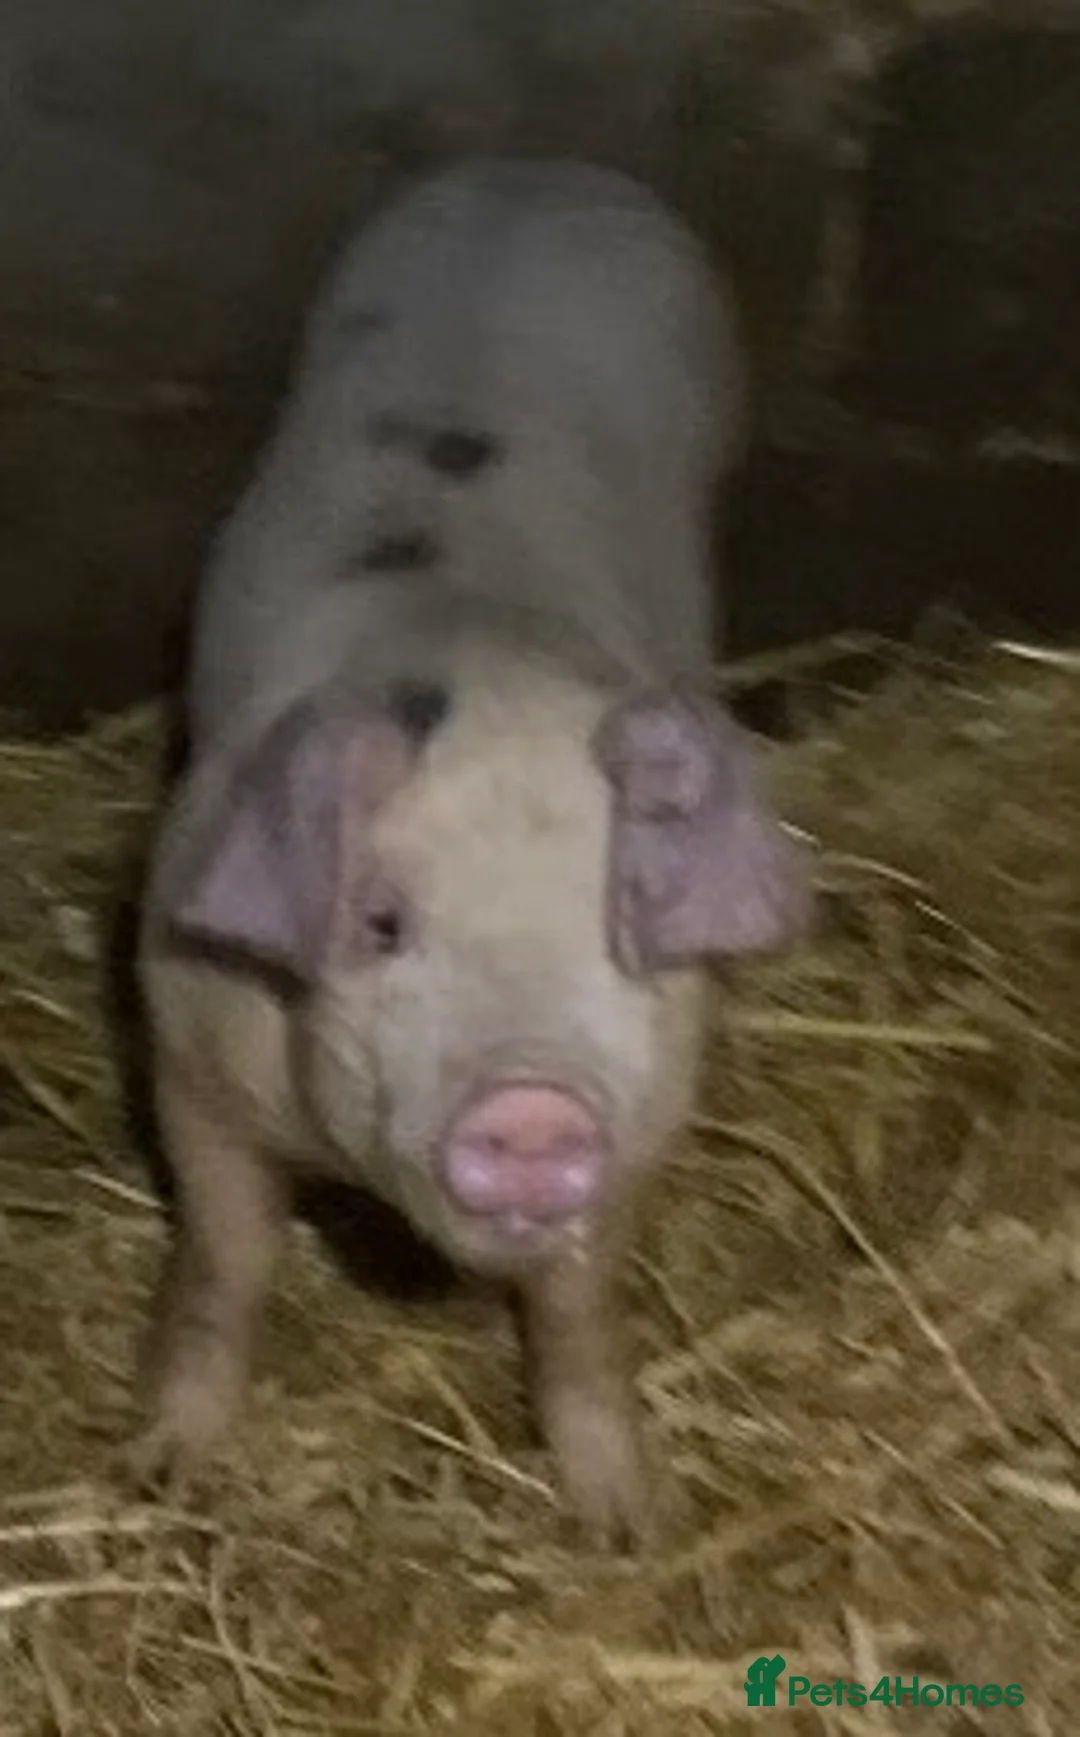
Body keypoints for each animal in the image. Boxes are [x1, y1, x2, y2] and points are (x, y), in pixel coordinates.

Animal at [132, 156, 812, 1545]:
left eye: (623, 923)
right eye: (384, 921)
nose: (533, 1104)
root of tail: (541, 168)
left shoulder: (650, 1105)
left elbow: (580, 1312)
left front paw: (625, 1529)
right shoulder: (185, 1047)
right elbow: (225, 1262)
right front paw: (164, 1479)